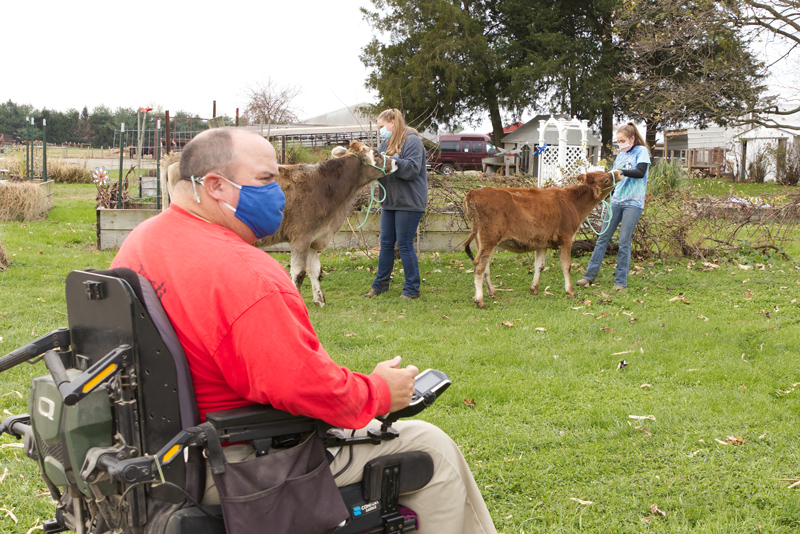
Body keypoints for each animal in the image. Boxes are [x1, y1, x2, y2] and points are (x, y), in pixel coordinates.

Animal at [160, 142, 396, 308]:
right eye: (376, 153)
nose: (395, 162)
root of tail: (174, 159)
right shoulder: (300, 236)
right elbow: (299, 273)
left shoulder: (314, 237)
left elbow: (315, 271)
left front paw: (320, 300)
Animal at [460, 172, 620, 310]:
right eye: (606, 179)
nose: (619, 172)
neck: (572, 201)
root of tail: (474, 193)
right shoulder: (566, 239)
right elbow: (566, 266)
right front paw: (570, 291)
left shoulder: (542, 242)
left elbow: (539, 266)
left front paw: (534, 289)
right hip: (489, 238)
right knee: (479, 265)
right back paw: (480, 300)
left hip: (481, 240)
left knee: (484, 266)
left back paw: (492, 293)